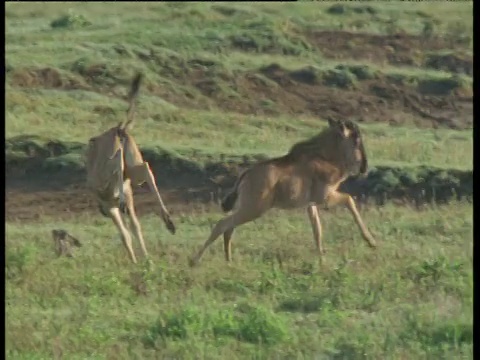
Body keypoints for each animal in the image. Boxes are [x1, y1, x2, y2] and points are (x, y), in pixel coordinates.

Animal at [86, 73, 176, 264]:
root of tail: (119, 129)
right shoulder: (129, 200)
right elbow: (135, 227)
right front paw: (147, 261)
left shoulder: (111, 206)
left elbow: (125, 235)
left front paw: (135, 262)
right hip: (134, 170)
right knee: (145, 167)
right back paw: (169, 221)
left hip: (112, 171)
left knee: (118, 162)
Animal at [189, 119, 376, 268]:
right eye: (356, 139)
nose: (364, 168)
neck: (324, 157)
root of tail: (246, 174)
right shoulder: (325, 198)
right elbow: (350, 200)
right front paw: (371, 241)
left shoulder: (311, 205)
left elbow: (317, 231)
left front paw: (322, 261)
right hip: (254, 209)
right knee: (222, 224)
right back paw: (195, 260)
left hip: (246, 208)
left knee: (229, 227)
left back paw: (229, 261)